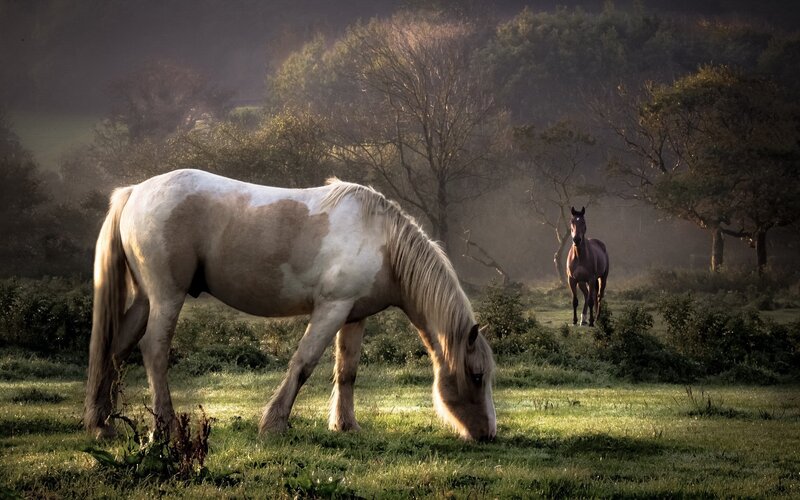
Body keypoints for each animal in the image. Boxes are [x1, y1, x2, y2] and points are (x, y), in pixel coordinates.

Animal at [84, 169, 496, 441]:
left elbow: (347, 372)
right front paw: (274, 425)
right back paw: (164, 428)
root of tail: (135, 192)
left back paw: (101, 423)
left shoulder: (354, 316)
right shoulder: (331, 309)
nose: (488, 434)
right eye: (476, 376)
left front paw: (346, 426)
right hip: (167, 296)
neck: (382, 241)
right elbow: (303, 364)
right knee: (153, 351)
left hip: (145, 299)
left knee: (116, 348)